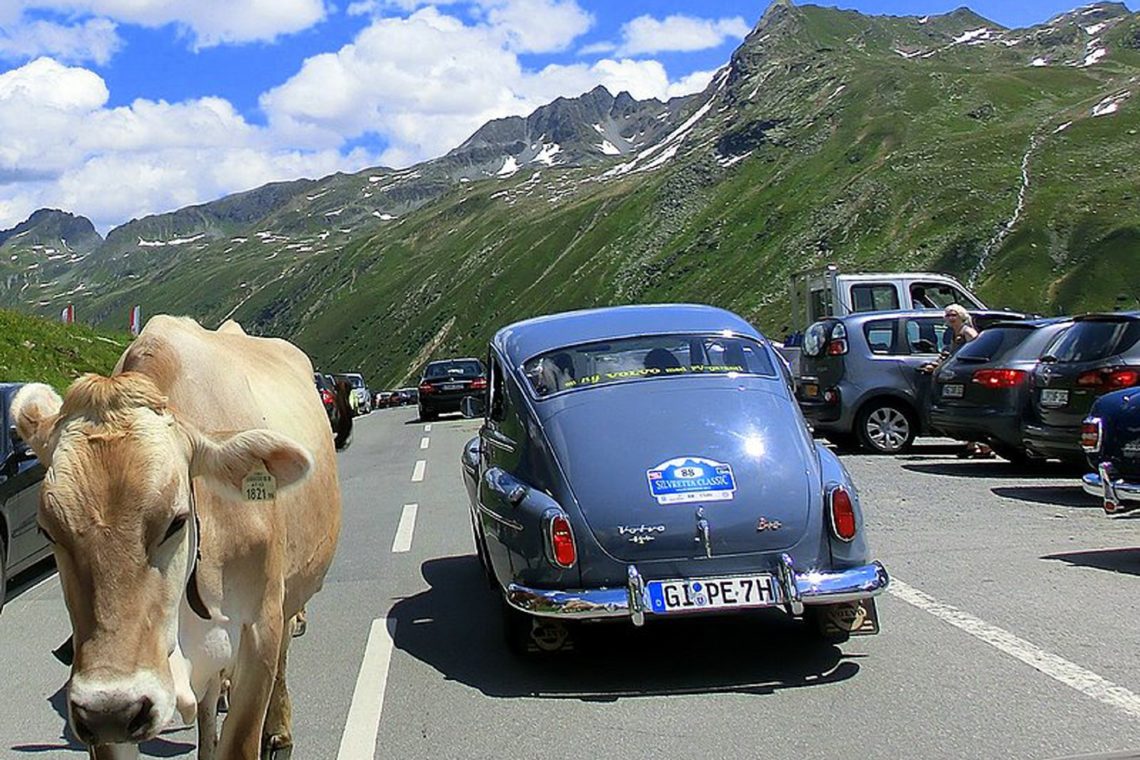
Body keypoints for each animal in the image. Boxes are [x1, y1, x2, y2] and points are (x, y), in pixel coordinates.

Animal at [11, 316, 342, 760]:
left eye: (176, 520)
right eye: (48, 530)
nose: (110, 709)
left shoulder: (260, 630)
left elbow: (241, 737)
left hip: (287, 595)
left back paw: (278, 732)